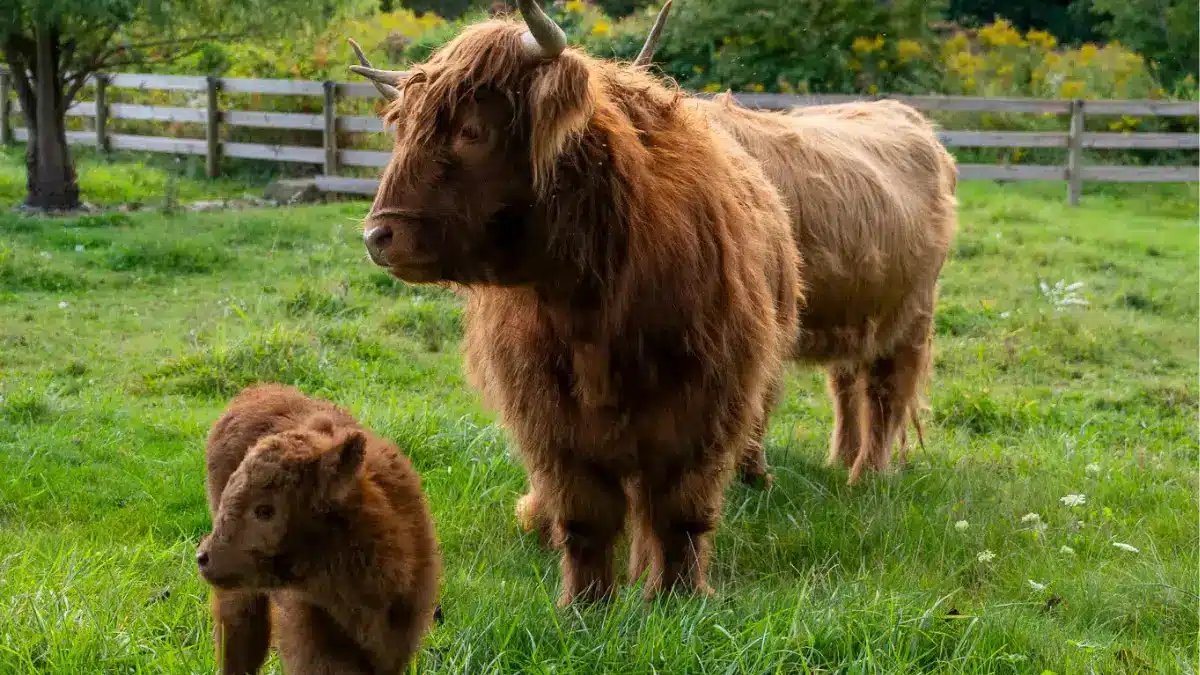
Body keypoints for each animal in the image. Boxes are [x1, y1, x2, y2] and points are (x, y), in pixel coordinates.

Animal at [348, 0, 800, 605]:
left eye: (472, 130)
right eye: (403, 129)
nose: (379, 237)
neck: (596, 302)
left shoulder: (707, 400)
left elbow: (679, 510)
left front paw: (676, 596)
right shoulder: (546, 412)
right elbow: (585, 511)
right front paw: (586, 603)